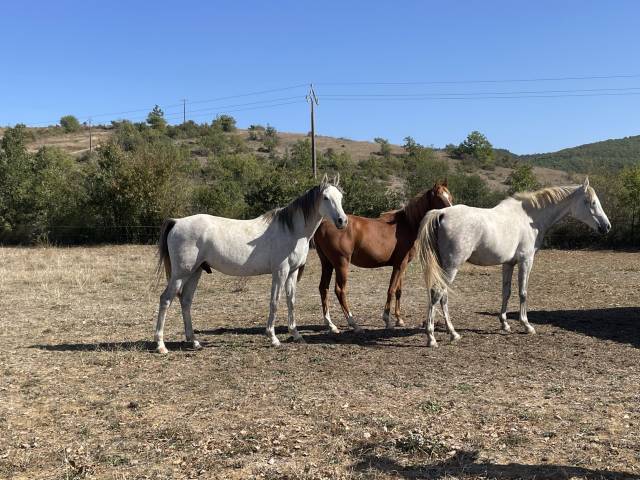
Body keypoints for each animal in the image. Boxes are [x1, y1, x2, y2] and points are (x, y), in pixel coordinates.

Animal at [154, 174, 348, 350]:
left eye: (340, 197)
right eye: (325, 197)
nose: (342, 221)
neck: (292, 230)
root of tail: (177, 222)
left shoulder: (292, 272)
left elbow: (291, 301)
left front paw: (296, 335)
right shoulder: (281, 271)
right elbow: (275, 301)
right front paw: (273, 338)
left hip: (195, 272)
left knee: (186, 301)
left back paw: (194, 341)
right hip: (181, 274)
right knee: (165, 299)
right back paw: (161, 345)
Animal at [314, 181, 452, 334]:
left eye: (450, 196)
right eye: (439, 198)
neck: (407, 224)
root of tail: (323, 225)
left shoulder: (402, 265)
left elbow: (398, 290)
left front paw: (399, 319)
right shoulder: (399, 265)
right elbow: (391, 290)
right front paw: (387, 320)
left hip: (327, 264)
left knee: (323, 288)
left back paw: (330, 325)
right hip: (341, 264)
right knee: (340, 290)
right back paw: (354, 324)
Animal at [418, 178, 612, 346]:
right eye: (592, 202)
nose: (607, 226)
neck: (530, 217)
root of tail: (441, 213)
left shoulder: (508, 263)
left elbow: (506, 292)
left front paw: (505, 324)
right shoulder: (526, 260)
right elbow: (523, 292)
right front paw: (526, 325)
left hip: (446, 268)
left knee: (443, 296)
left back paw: (453, 333)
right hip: (452, 266)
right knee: (437, 293)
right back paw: (432, 338)